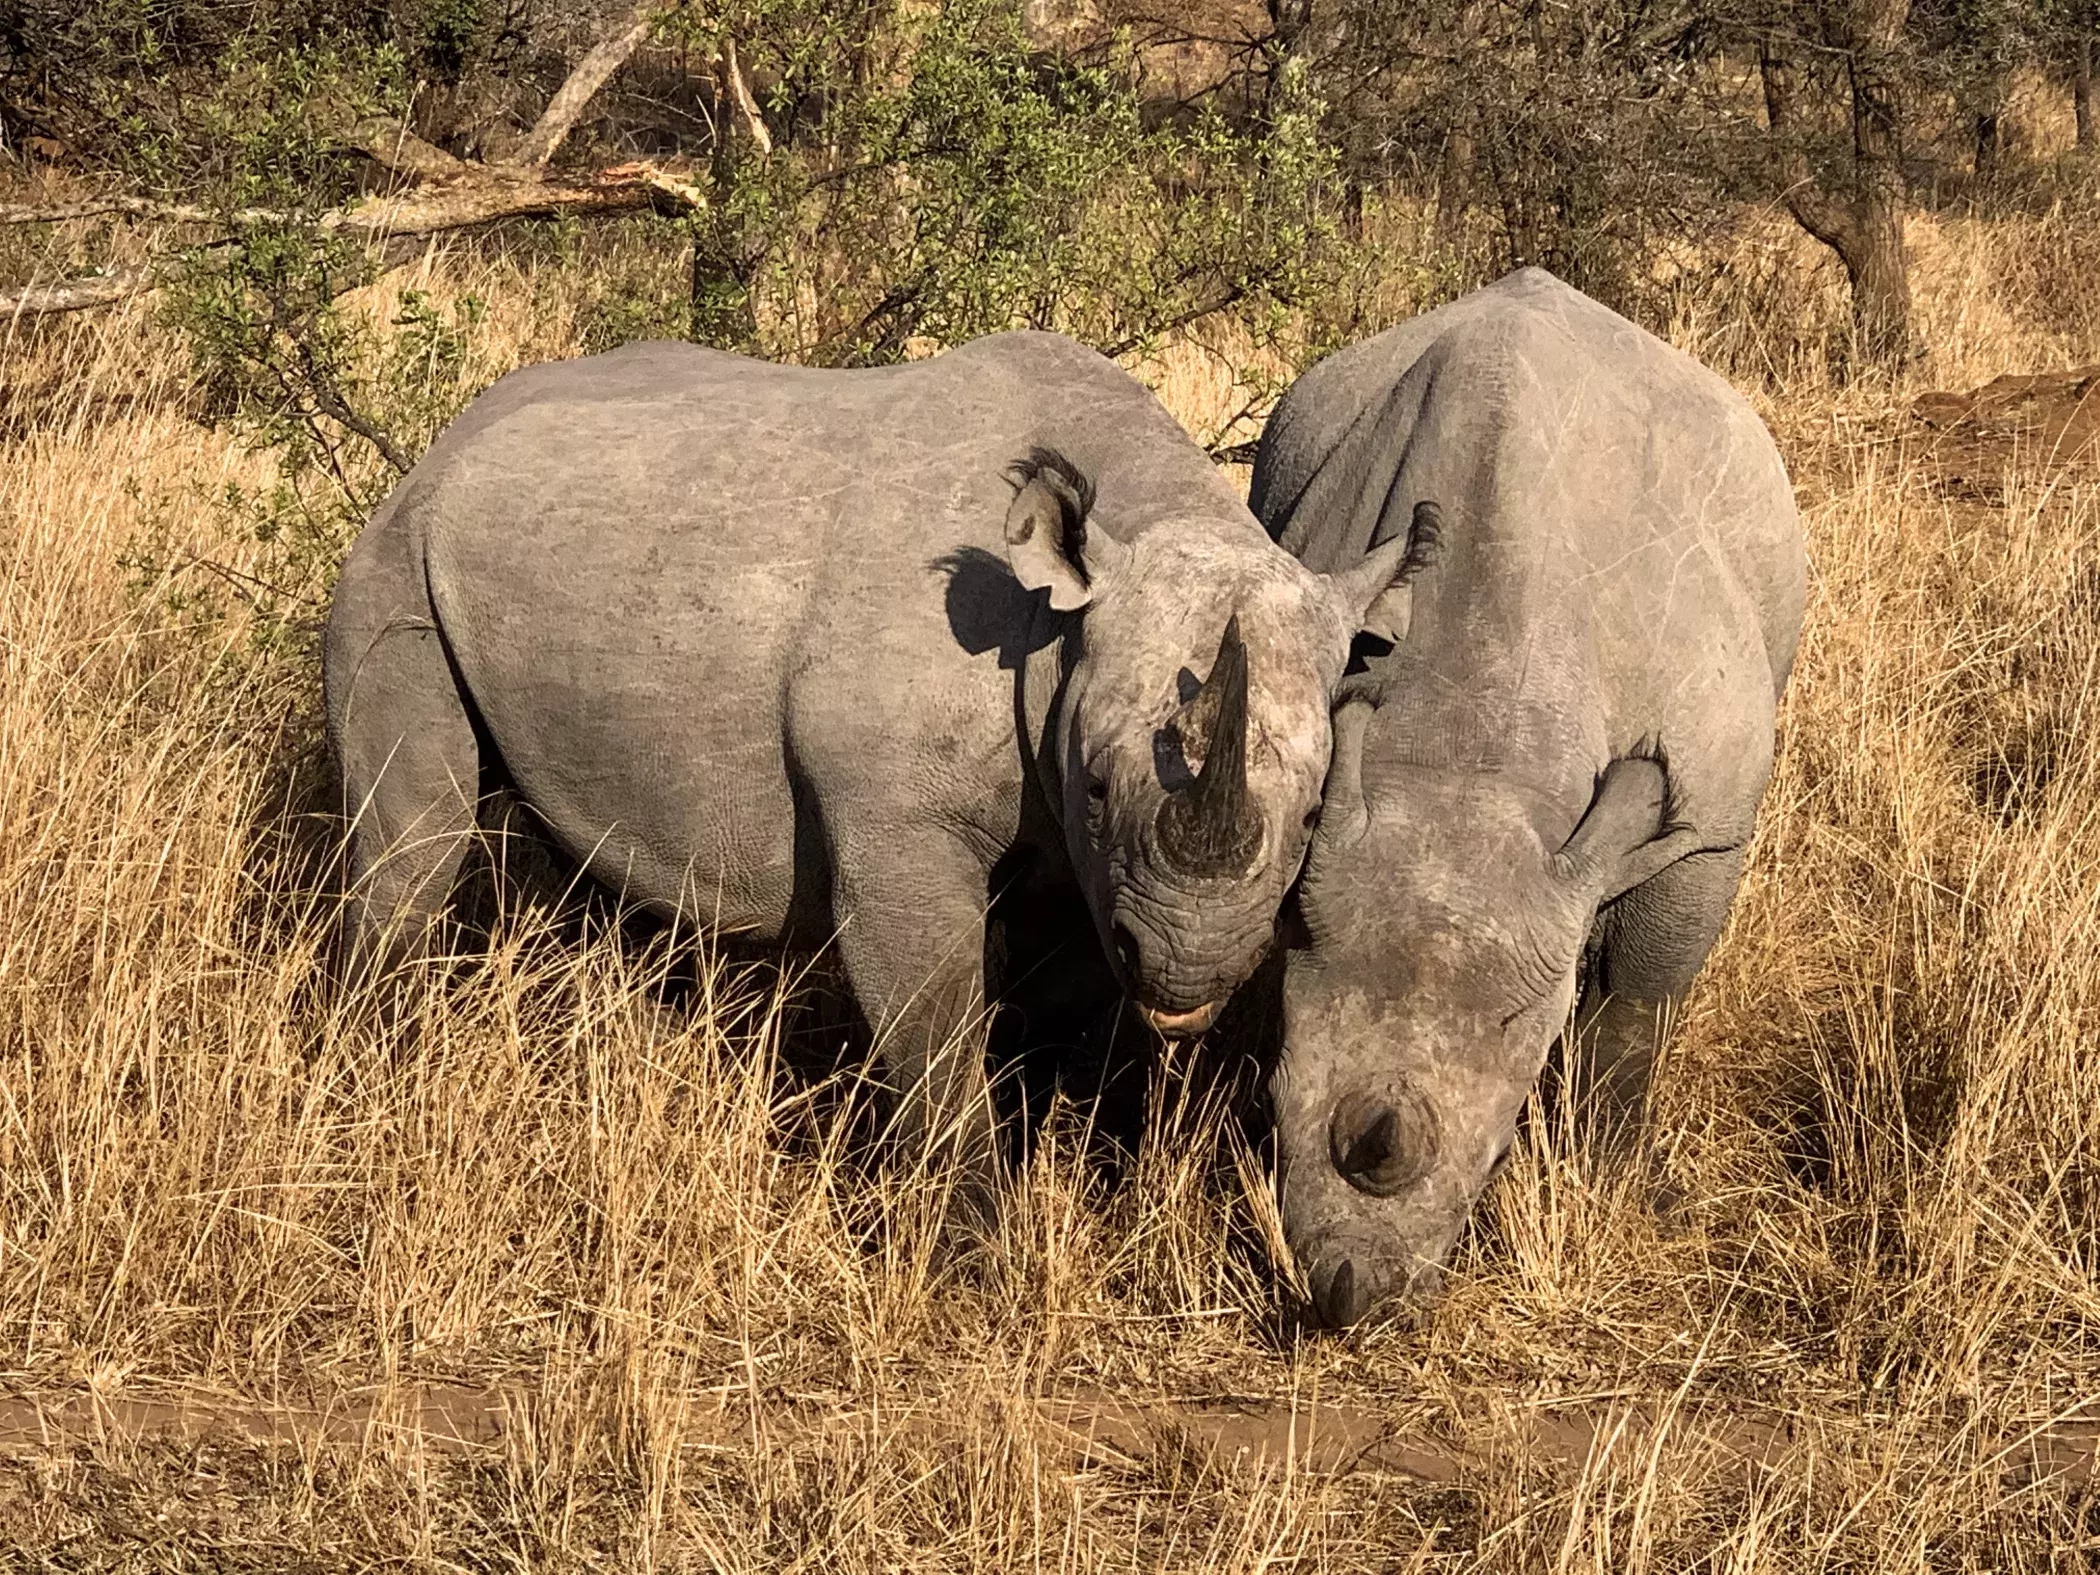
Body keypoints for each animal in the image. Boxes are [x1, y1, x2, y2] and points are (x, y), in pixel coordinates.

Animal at [325, 329, 1419, 1223]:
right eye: (1106, 790)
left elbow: (1058, 1004)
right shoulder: (905, 831)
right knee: (414, 838)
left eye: (1313, 817)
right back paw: (370, 1078)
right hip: (394, 557)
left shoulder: (1080, 858)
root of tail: (439, 446)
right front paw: (971, 1240)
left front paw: (1052, 1171)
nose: (1188, 976)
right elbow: (935, 1019)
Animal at [1248, 270, 1806, 1325]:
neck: (1465, 768)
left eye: (1499, 1144)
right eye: (1280, 1092)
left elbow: (1637, 1007)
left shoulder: (1710, 825)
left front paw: (1607, 1177)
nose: (1352, 1296)